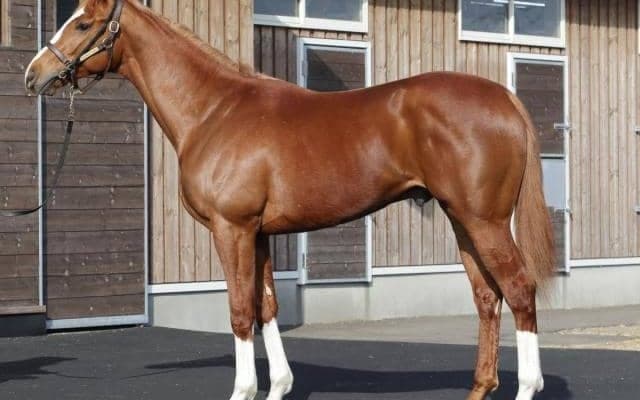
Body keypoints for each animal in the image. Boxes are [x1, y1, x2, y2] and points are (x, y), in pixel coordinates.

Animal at [24, 1, 555, 399]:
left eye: (83, 24)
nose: (34, 75)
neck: (213, 111)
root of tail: (505, 99)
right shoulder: (258, 234)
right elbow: (267, 306)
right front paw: (278, 385)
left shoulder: (231, 229)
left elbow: (240, 310)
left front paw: (243, 390)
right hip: (462, 221)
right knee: (487, 297)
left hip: (484, 221)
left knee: (519, 289)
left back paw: (527, 386)